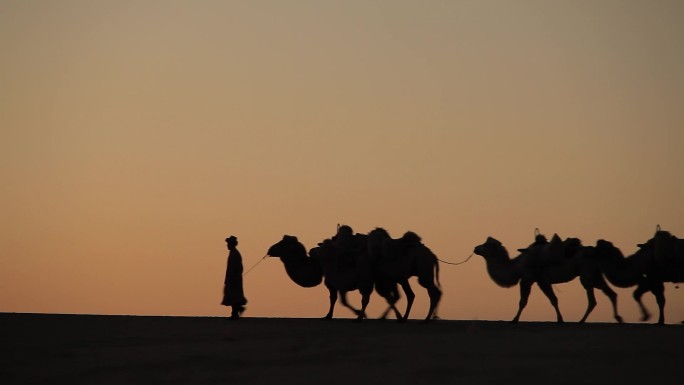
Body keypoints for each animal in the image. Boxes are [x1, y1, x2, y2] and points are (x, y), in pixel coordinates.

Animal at [472, 232, 624, 322]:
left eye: (486, 245)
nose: (475, 248)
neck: (517, 265)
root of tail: (596, 251)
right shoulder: (542, 281)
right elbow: (553, 300)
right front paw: (560, 319)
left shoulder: (527, 279)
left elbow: (523, 301)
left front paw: (514, 319)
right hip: (595, 274)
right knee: (611, 293)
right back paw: (618, 318)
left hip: (587, 275)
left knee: (593, 299)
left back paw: (581, 321)